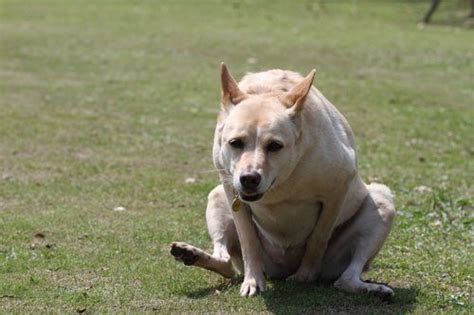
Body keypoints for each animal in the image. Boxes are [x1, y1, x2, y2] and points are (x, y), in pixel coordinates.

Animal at [170, 63, 396, 300]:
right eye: (235, 143)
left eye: (275, 145)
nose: (249, 178)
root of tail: (282, 267)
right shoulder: (231, 191)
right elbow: (248, 241)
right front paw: (252, 281)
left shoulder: (338, 188)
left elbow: (318, 237)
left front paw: (305, 275)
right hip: (216, 196)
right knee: (226, 263)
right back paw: (190, 254)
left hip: (382, 199)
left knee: (346, 279)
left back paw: (374, 290)